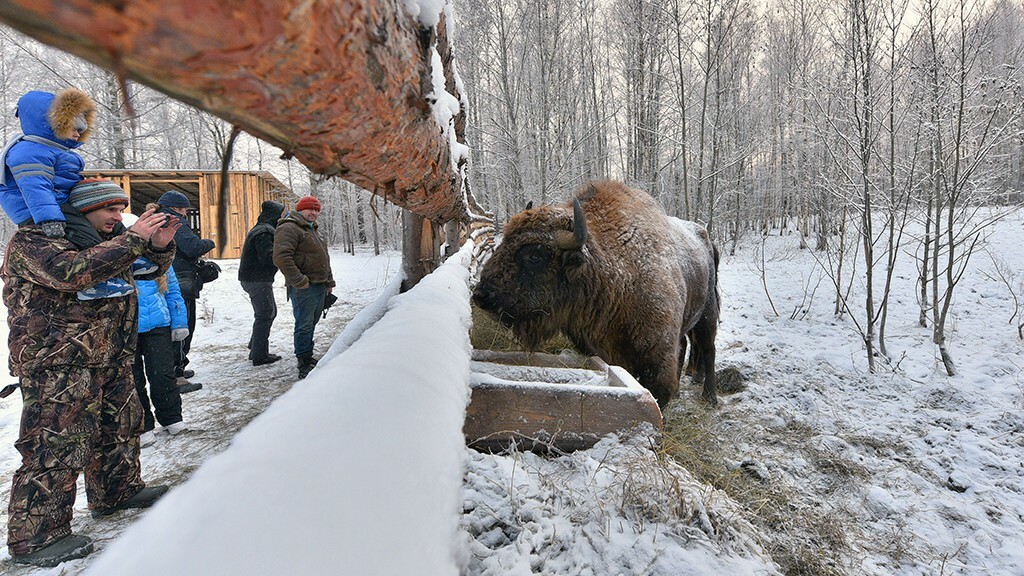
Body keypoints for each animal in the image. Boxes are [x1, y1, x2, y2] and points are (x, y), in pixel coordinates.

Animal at [473, 180, 720, 407]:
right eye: (504, 242)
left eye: (535, 255)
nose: (481, 295)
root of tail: (705, 237)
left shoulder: (657, 357)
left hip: (706, 315)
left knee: (708, 348)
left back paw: (710, 397)